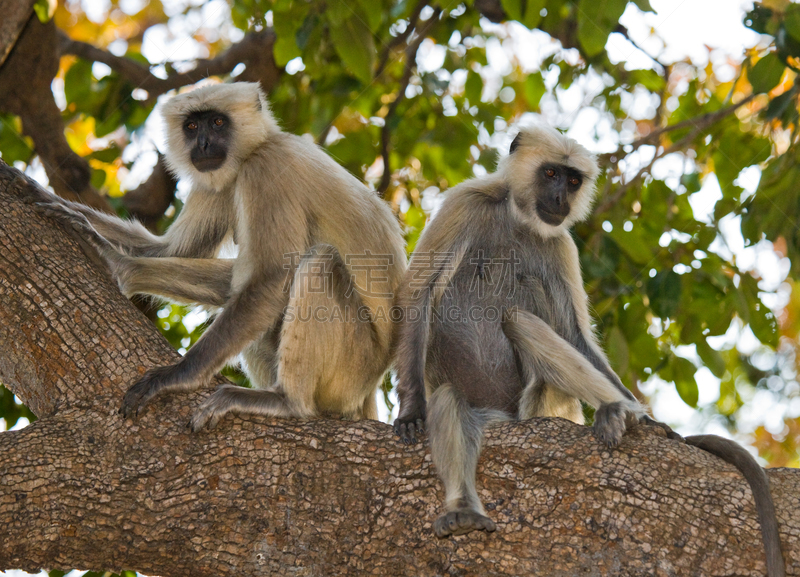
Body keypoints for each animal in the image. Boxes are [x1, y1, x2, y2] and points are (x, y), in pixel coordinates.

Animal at [32, 83, 406, 430]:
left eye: (217, 122)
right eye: (192, 126)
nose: (202, 145)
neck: (261, 144)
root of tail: (368, 391)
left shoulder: (265, 168)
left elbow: (271, 277)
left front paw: (177, 376)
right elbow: (172, 251)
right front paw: (115, 260)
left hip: (352, 370)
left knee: (319, 263)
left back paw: (289, 402)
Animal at [390, 126, 784, 576]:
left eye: (573, 180)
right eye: (550, 173)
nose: (561, 197)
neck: (517, 219)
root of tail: (508, 416)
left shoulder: (560, 243)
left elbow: (574, 334)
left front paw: (645, 416)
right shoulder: (465, 202)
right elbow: (417, 295)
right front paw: (411, 409)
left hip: (534, 402)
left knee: (519, 320)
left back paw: (622, 413)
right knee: (452, 399)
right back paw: (463, 509)